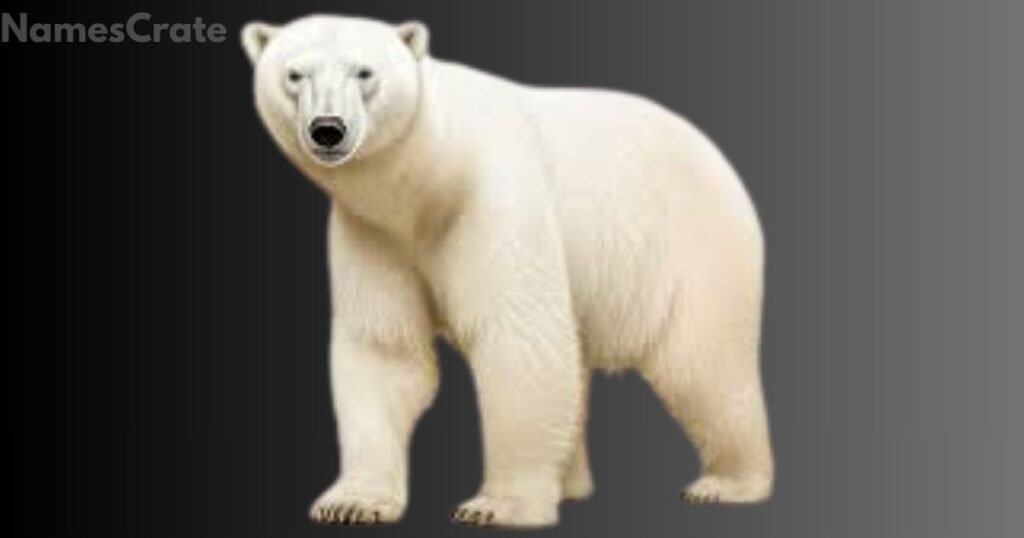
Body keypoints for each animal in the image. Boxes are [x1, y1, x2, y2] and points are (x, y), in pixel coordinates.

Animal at [242, 14, 774, 528]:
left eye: (364, 72)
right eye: (294, 74)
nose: (327, 129)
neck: (427, 178)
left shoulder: (492, 196)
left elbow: (517, 335)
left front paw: (496, 506)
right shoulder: (374, 232)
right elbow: (385, 349)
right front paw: (352, 502)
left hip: (690, 246)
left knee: (700, 364)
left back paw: (727, 483)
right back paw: (570, 483)